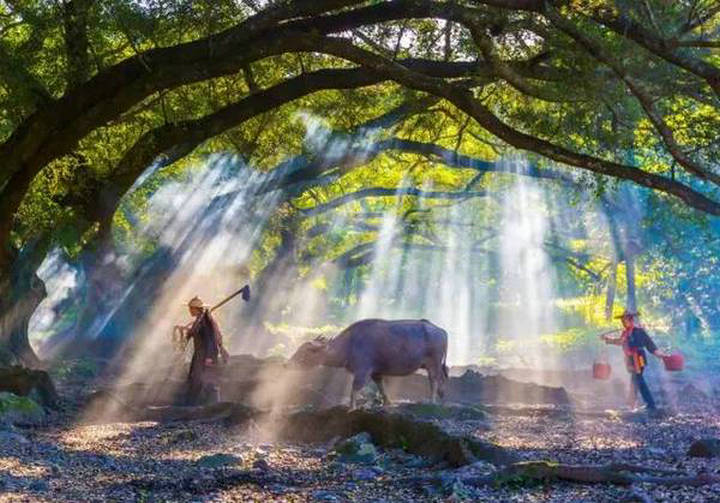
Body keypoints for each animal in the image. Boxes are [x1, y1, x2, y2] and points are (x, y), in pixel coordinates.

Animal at [288, 318, 448, 410]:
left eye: (307, 351)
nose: (286, 364)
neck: (349, 344)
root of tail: (441, 330)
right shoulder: (376, 372)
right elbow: (381, 386)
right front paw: (387, 403)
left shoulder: (363, 370)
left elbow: (355, 388)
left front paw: (351, 407)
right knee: (441, 379)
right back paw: (441, 398)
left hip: (433, 363)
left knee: (434, 380)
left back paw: (432, 401)